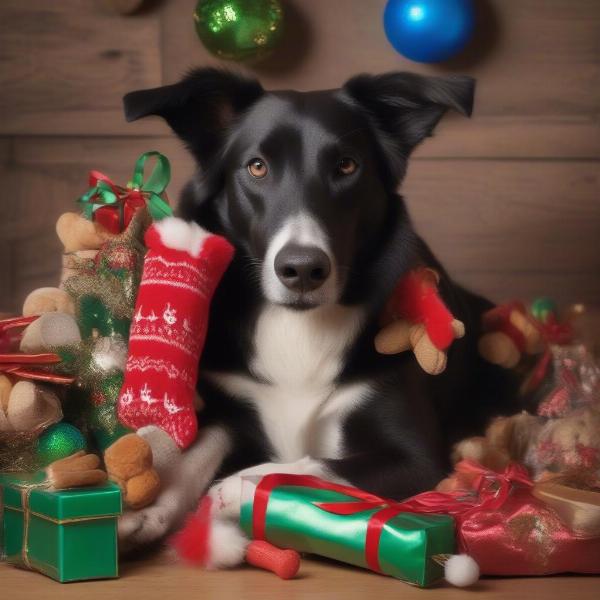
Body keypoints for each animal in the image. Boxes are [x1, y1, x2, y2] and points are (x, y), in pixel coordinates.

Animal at [117, 69, 520, 548]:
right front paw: (149, 501)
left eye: (346, 166)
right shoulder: (228, 405)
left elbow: (316, 464)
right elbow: (194, 449)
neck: (298, 325)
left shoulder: (418, 459)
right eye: (257, 166)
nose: (303, 269)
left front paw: (241, 484)